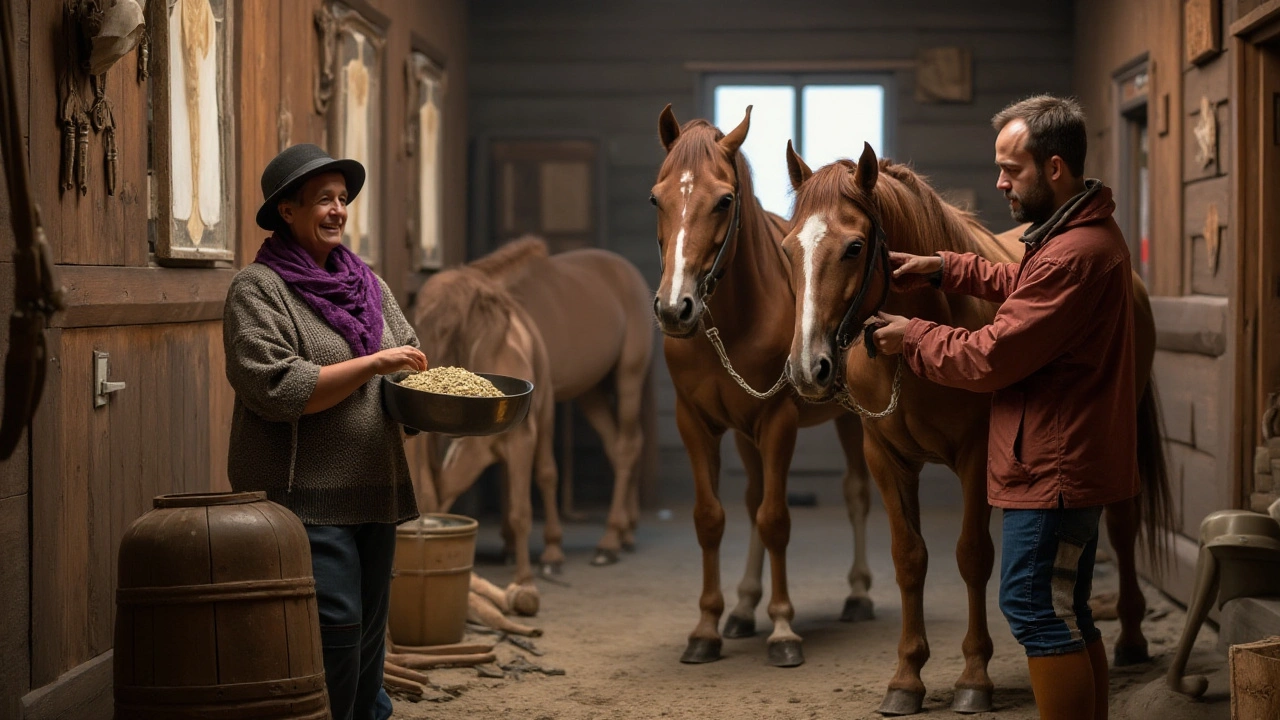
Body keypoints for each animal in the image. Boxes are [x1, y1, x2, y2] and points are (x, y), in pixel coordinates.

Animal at [655, 102, 875, 666]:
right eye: (655, 198)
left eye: (724, 200)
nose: (674, 308)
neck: (732, 323)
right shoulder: (696, 423)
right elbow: (713, 518)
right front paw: (707, 627)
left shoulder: (778, 421)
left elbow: (776, 518)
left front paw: (783, 630)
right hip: (744, 434)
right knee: (754, 496)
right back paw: (742, 608)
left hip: (850, 420)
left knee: (856, 493)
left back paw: (858, 594)